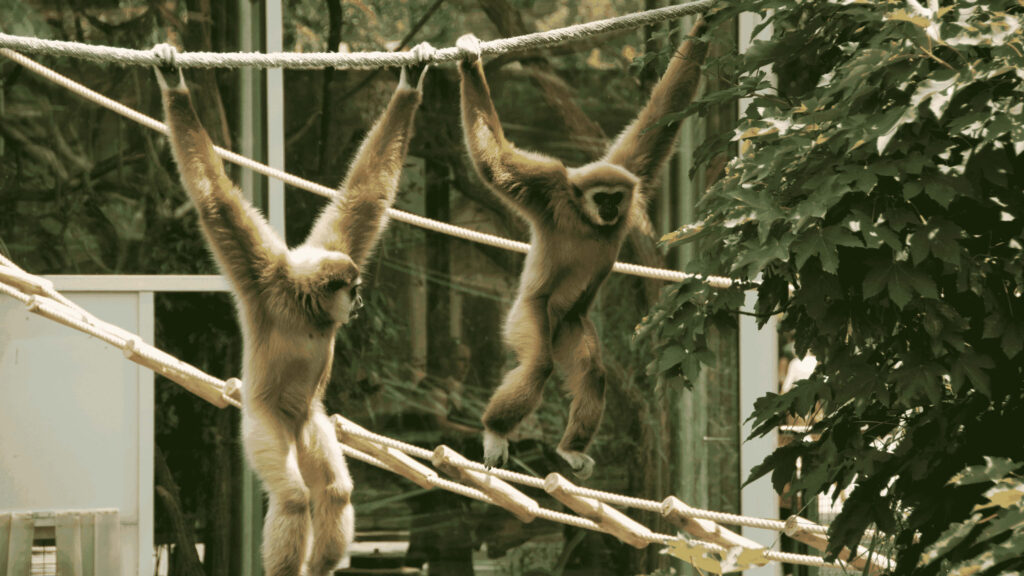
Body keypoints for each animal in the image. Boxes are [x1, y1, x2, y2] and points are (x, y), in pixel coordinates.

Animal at [154, 43, 431, 576]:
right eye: (353, 290)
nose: (359, 301)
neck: (306, 309)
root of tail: (294, 420)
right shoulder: (262, 277)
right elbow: (215, 202)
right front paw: (173, 83)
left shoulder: (329, 246)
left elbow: (365, 197)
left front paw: (411, 80)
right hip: (265, 423)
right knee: (294, 496)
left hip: (311, 423)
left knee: (334, 490)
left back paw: (321, 561)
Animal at [456, 20, 709, 479]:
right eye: (600, 198)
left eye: (614, 198)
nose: (610, 209)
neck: (586, 219)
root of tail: (555, 324)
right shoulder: (549, 189)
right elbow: (495, 165)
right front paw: (470, 62)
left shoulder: (630, 174)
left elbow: (657, 123)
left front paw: (707, 23)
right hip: (529, 316)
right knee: (538, 364)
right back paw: (495, 430)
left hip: (571, 325)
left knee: (592, 372)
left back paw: (569, 448)